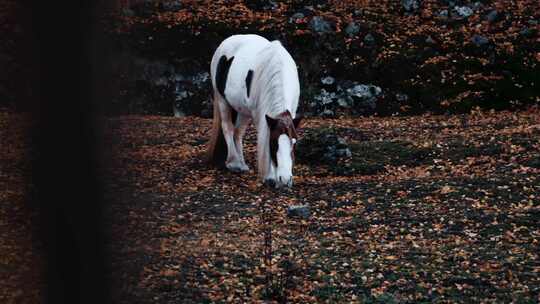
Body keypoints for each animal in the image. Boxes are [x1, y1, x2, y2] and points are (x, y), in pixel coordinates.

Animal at [206, 33, 302, 188]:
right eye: (273, 143)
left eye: (294, 143)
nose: (285, 180)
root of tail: (225, 42)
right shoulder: (261, 116)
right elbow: (263, 138)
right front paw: (270, 176)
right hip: (222, 100)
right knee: (227, 127)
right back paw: (234, 163)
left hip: (243, 111)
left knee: (238, 132)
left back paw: (241, 163)